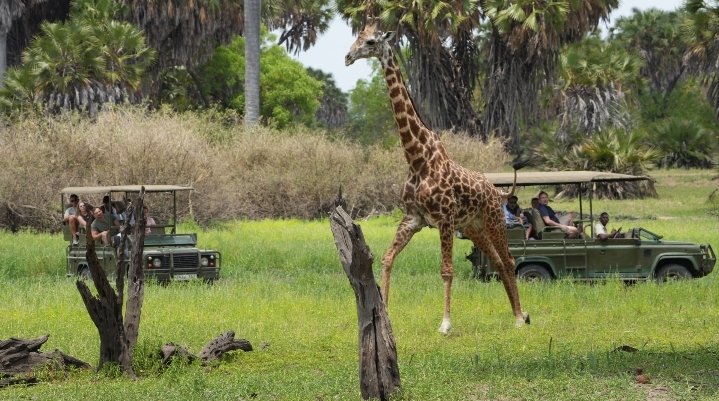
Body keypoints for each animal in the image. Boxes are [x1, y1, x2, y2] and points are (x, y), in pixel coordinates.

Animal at [346, 22, 532, 334]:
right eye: (356, 38)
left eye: (370, 42)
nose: (348, 57)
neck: (417, 159)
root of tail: (498, 192)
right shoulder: (412, 219)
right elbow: (387, 259)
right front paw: (385, 313)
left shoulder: (444, 220)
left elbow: (446, 270)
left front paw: (445, 324)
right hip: (473, 226)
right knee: (497, 260)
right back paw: (519, 313)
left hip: (493, 219)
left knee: (508, 259)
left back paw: (520, 317)